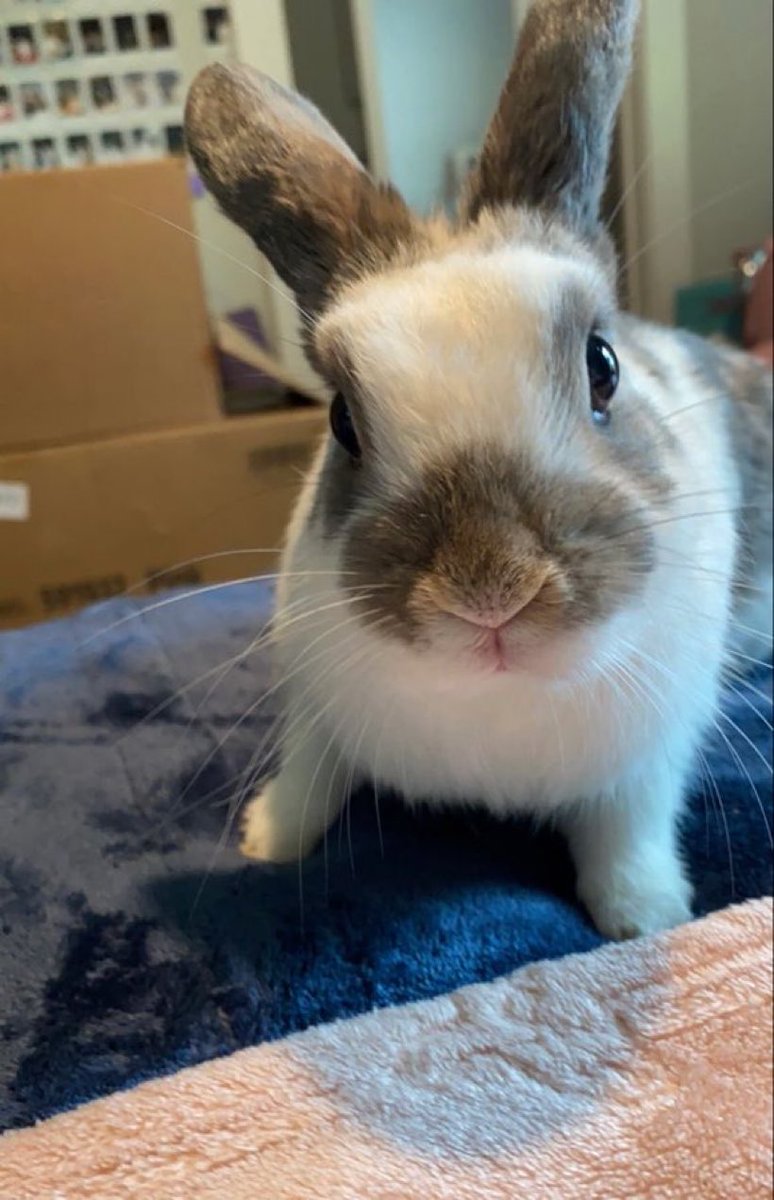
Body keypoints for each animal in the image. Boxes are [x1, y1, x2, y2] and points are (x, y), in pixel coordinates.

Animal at [184, 0, 772, 939]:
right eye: (341, 420)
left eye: (604, 366)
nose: (490, 590)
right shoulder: (314, 708)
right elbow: (310, 776)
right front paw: (266, 842)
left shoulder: (645, 764)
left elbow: (627, 836)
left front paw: (645, 917)